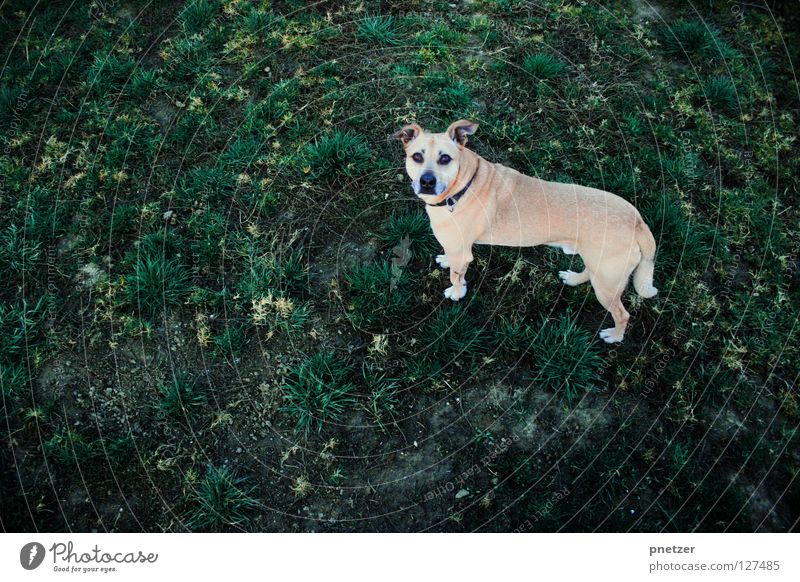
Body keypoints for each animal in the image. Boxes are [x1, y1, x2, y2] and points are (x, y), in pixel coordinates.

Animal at [390, 120, 660, 344]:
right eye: (417, 156)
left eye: (445, 158)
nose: (427, 182)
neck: (461, 187)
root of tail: (638, 221)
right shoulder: (457, 247)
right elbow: (451, 260)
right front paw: (445, 262)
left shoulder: (461, 252)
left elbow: (457, 277)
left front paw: (456, 293)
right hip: (599, 267)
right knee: (588, 273)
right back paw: (573, 278)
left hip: (607, 282)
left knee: (622, 314)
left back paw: (615, 336)